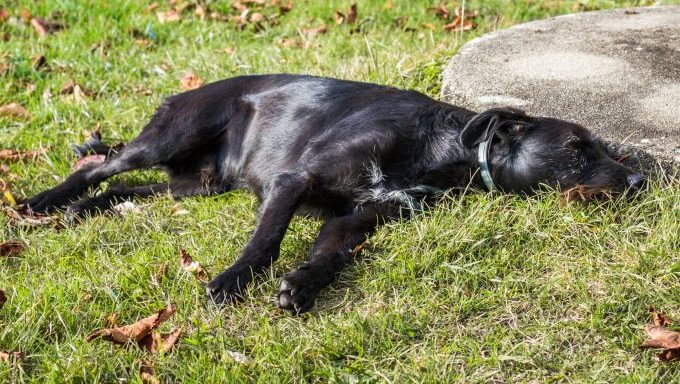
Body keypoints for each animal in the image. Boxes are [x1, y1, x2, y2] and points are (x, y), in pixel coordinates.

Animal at [23, 73, 644, 314]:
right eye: (577, 148)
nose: (639, 181)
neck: (440, 144)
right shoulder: (294, 182)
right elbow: (267, 241)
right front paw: (231, 281)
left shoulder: (359, 217)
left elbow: (331, 255)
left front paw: (301, 285)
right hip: (171, 136)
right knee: (99, 167)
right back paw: (43, 202)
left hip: (196, 184)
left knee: (129, 186)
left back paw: (86, 210)